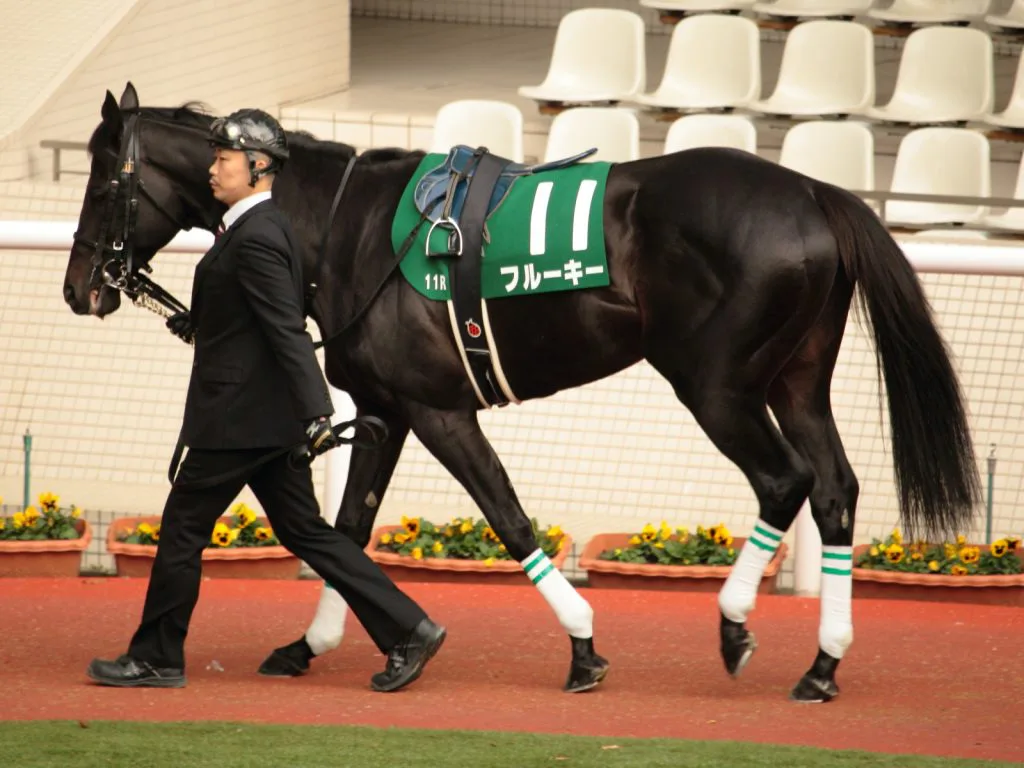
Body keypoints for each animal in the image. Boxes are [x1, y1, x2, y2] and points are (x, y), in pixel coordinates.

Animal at [62, 82, 982, 702]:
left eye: (103, 181)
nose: (80, 289)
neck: (345, 230)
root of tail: (815, 192)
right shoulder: (386, 410)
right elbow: (346, 529)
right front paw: (318, 644)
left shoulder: (438, 409)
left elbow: (506, 516)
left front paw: (581, 647)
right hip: (796, 381)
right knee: (834, 489)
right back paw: (822, 666)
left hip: (714, 383)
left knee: (784, 480)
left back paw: (732, 628)